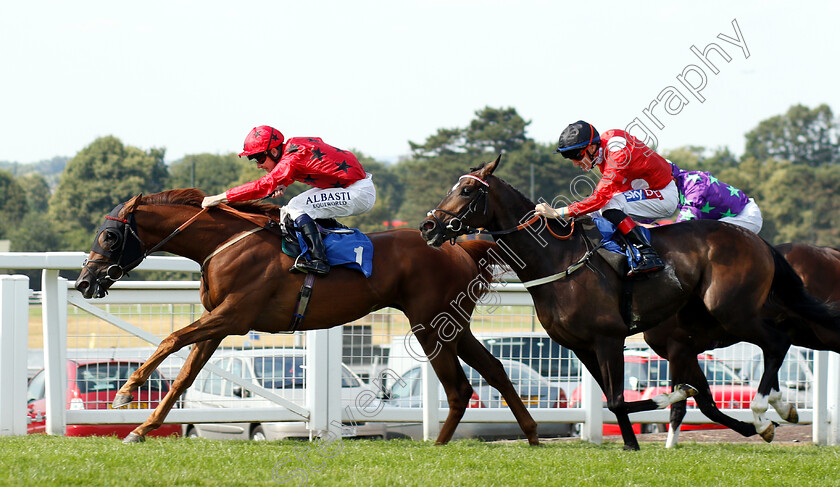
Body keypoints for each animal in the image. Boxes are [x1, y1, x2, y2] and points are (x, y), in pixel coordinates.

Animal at [74, 190, 540, 446]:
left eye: (109, 236)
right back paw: (533, 434)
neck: (225, 243)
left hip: (431, 323)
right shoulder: (218, 322)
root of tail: (462, 248)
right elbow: (185, 376)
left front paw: (125, 393)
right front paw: (142, 428)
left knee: (459, 386)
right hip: (453, 324)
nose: (84, 281)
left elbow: (170, 340)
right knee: (495, 369)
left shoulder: (233, 316)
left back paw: (440, 445)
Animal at [652, 242, 840, 448]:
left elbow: (683, 405)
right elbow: (706, 404)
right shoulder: (687, 354)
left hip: (820, 332)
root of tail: (832, 253)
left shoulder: (678, 349)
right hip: (805, 332)